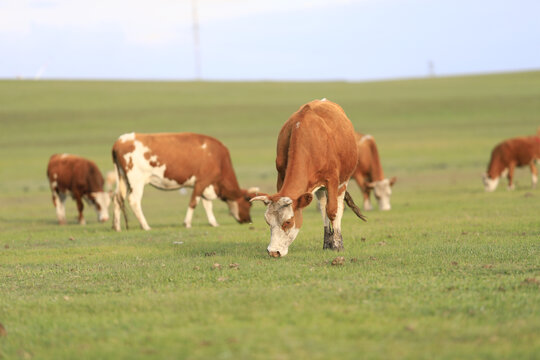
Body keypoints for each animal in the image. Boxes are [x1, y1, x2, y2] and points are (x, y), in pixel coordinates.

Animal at [110, 132, 258, 231]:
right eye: (248, 204)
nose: (249, 220)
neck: (218, 158)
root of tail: (121, 140)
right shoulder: (202, 181)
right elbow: (194, 202)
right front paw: (187, 223)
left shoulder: (206, 185)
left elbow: (207, 204)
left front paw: (213, 222)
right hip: (136, 180)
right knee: (134, 201)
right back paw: (145, 226)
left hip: (123, 179)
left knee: (117, 198)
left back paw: (117, 227)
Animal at [251, 98, 364, 256]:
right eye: (268, 222)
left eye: (288, 222)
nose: (273, 252)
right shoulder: (281, 176)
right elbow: (325, 210)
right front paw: (330, 243)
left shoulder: (332, 180)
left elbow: (333, 211)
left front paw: (337, 245)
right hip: (320, 188)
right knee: (323, 207)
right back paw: (326, 242)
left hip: (343, 181)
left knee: (338, 207)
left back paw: (336, 240)